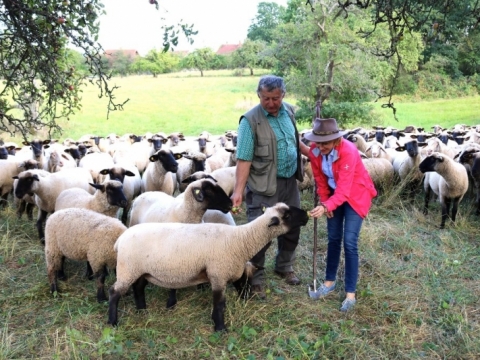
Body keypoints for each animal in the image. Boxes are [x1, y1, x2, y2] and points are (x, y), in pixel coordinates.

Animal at [107, 201, 310, 330]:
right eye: (288, 215)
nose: (307, 215)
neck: (240, 241)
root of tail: (119, 241)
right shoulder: (218, 274)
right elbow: (219, 303)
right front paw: (220, 327)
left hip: (141, 270)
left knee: (138, 287)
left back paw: (142, 310)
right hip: (127, 269)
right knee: (115, 292)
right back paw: (112, 322)